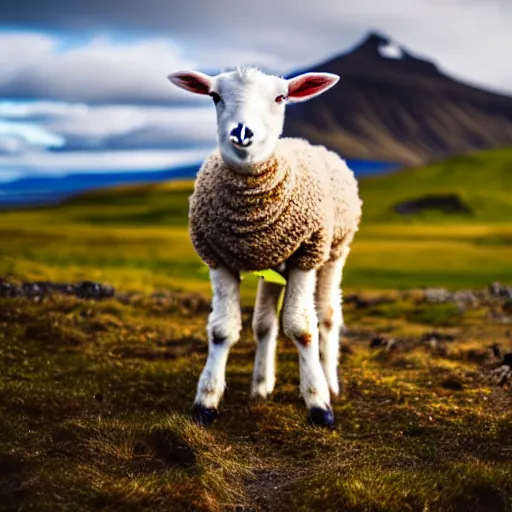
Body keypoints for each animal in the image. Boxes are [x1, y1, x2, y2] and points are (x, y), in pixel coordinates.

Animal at [168, 67, 360, 428]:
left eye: (281, 97)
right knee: (265, 323)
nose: (242, 131)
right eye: (215, 96)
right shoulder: (216, 258)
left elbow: (302, 328)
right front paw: (206, 401)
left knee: (328, 316)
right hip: (272, 263)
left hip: (334, 251)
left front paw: (319, 404)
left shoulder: (306, 256)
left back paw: (330, 382)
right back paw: (261, 386)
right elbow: (222, 330)